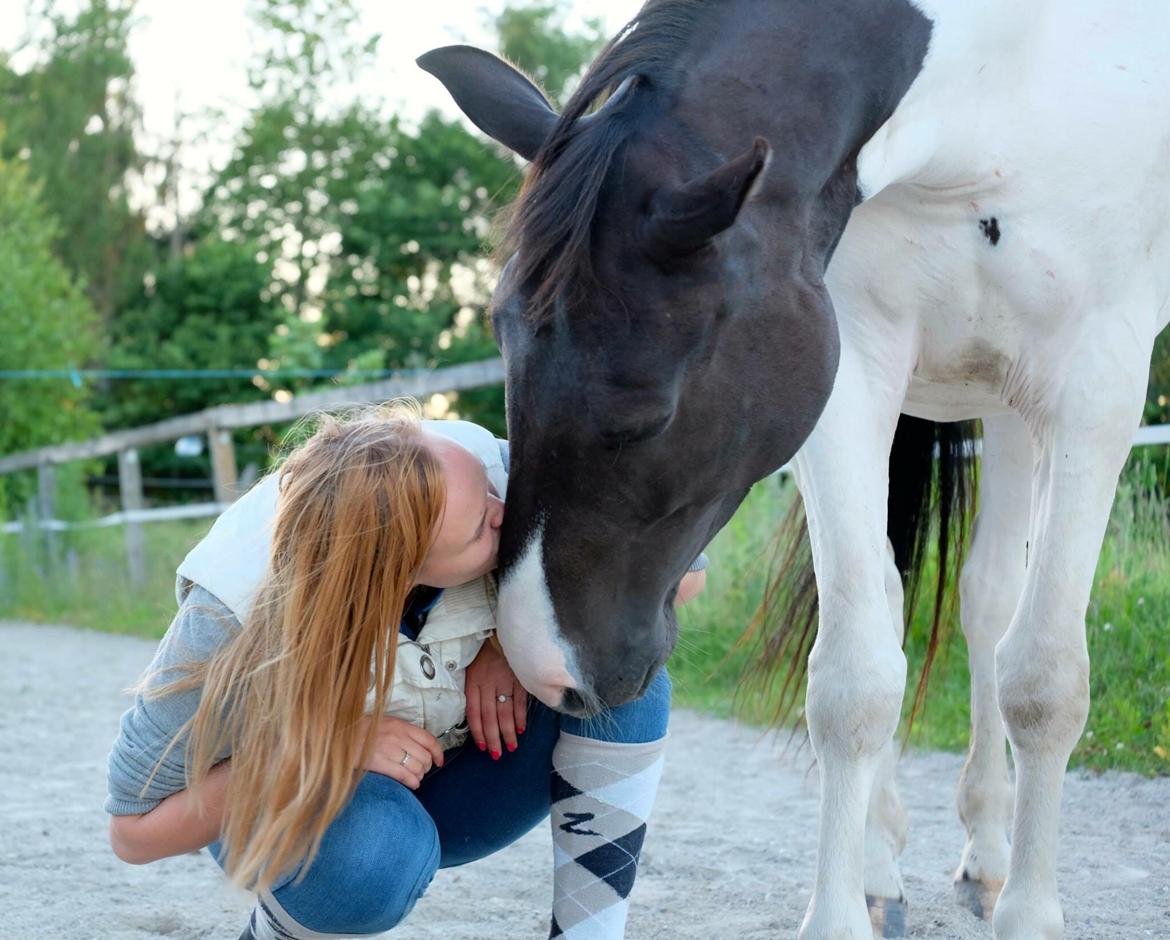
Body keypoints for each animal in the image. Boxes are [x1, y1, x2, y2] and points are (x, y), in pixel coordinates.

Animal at [421, 1, 1170, 940]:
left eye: (645, 414)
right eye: (506, 364)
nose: (544, 665)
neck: (992, 87)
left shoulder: (1098, 386)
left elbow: (1043, 681)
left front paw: (1030, 915)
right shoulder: (848, 369)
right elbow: (854, 680)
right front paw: (846, 905)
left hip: (1015, 406)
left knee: (991, 604)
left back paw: (992, 854)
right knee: (907, 599)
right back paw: (884, 861)